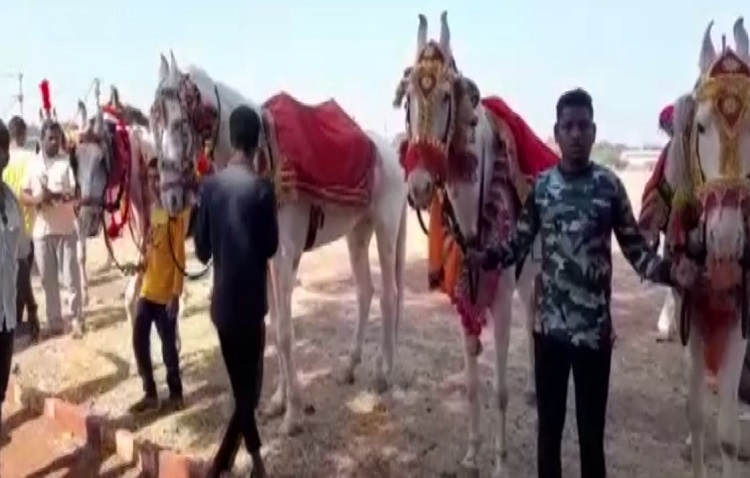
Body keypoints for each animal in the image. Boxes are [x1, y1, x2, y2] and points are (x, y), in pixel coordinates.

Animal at [152, 51, 408, 434]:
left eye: (183, 123)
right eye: (154, 121)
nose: (170, 196)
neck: (264, 162)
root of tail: (394, 155)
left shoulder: (285, 256)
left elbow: (286, 333)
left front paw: (294, 414)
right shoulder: (267, 259)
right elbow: (273, 327)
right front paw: (277, 402)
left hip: (385, 228)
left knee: (390, 296)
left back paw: (382, 374)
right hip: (357, 233)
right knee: (366, 292)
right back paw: (350, 366)